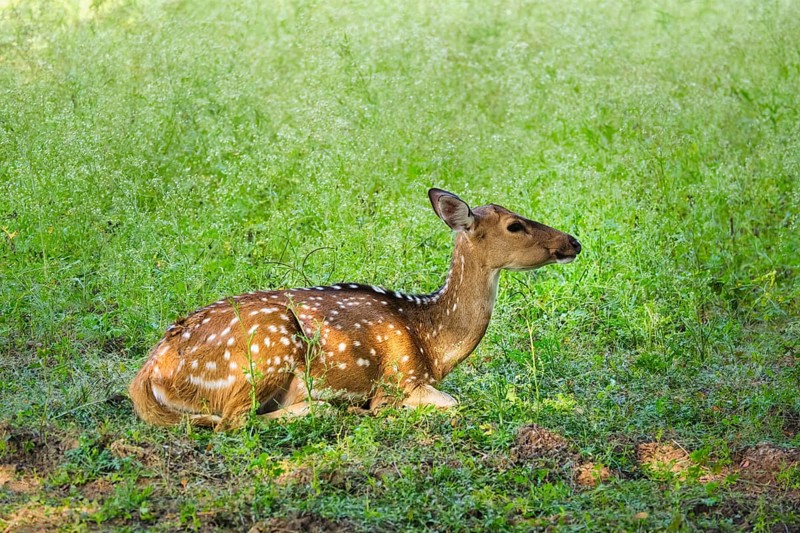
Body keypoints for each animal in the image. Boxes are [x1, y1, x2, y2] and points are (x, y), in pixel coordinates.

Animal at [129, 189, 582, 430]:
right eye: (514, 225)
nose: (573, 241)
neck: (431, 341)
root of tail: (150, 372)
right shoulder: (400, 379)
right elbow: (449, 402)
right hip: (265, 351)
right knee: (234, 421)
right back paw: (326, 408)